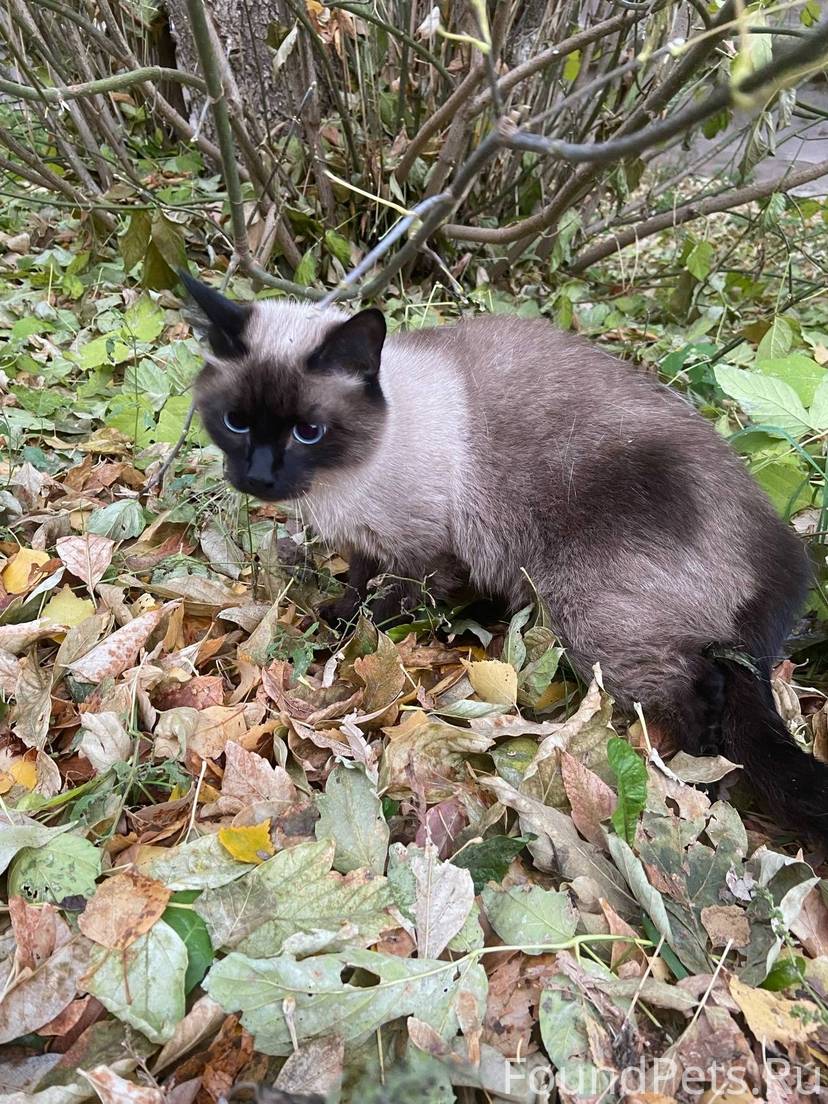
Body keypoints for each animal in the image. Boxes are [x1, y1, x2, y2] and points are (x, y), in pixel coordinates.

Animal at [182, 271, 827, 840]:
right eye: (235, 422)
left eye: (308, 433)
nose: (260, 478)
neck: (343, 482)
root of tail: (778, 547)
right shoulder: (368, 542)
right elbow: (359, 583)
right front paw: (339, 615)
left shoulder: (424, 554)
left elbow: (388, 608)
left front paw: (345, 640)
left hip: (588, 617)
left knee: (702, 692)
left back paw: (694, 778)